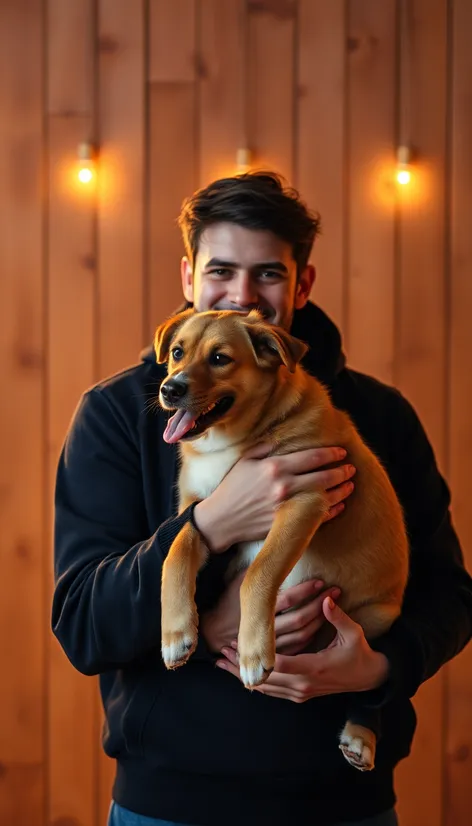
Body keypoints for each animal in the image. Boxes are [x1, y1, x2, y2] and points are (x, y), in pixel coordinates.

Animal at [155, 306, 410, 768]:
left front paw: (254, 652)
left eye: (219, 358)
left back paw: (361, 733)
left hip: (377, 619)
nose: (170, 387)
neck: (232, 443)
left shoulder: (305, 501)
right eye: (178, 352)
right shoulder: (198, 511)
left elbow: (259, 572)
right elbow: (175, 553)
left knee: (368, 688)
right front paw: (176, 634)